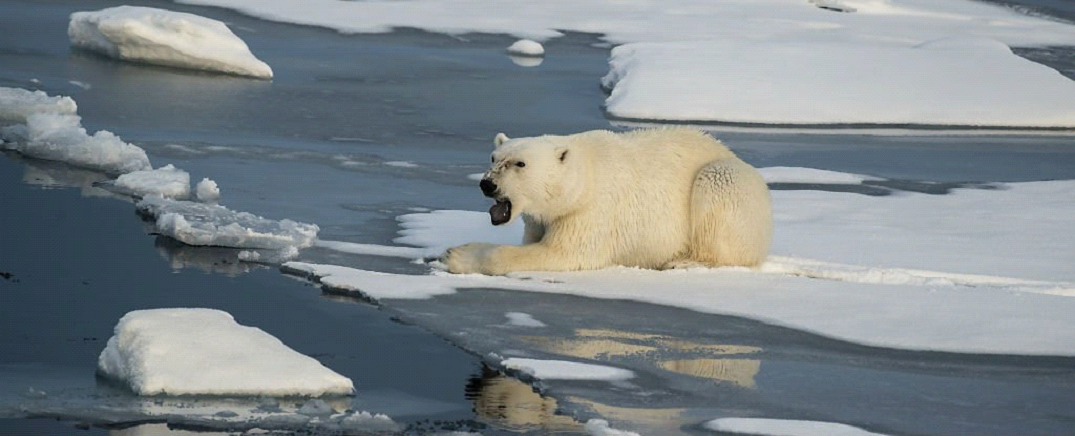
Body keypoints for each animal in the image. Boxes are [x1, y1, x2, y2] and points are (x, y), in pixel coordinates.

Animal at [445, 127, 774, 273]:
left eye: (520, 163)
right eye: (493, 157)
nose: (487, 184)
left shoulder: (590, 213)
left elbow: (560, 254)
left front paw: (455, 255)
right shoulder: (546, 217)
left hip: (727, 181)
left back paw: (683, 260)